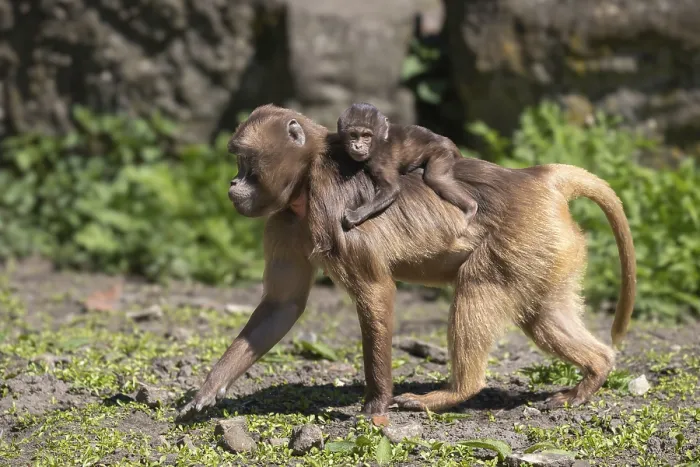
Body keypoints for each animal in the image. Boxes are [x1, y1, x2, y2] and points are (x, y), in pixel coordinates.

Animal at [336, 102, 478, 230]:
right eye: (353, 135)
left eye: (366, 136)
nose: (358, 146)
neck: (379, 142)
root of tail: (445, 141)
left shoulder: (379, 160)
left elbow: (392, 189)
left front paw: (356, 215)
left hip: (442, 153)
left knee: (434, 178)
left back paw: (471, 207)